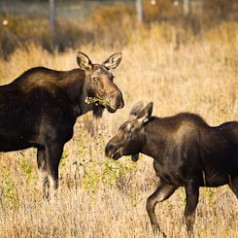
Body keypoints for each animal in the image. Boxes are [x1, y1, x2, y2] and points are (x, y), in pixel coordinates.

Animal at [0, 51, 124, 199]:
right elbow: (54, 182)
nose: (118, 100)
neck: (75, 103)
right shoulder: (54, 142)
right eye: (95, 78)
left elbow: (44, 183)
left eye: (112, 77)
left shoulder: (41, 146)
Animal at [105, 102, 238, 236]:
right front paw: (160, 232)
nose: (108, 149)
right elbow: (150, 202)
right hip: (233, 181)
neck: (160, 152)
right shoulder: (169, 182)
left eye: (130, 130)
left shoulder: (192, 181)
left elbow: (188, 216)